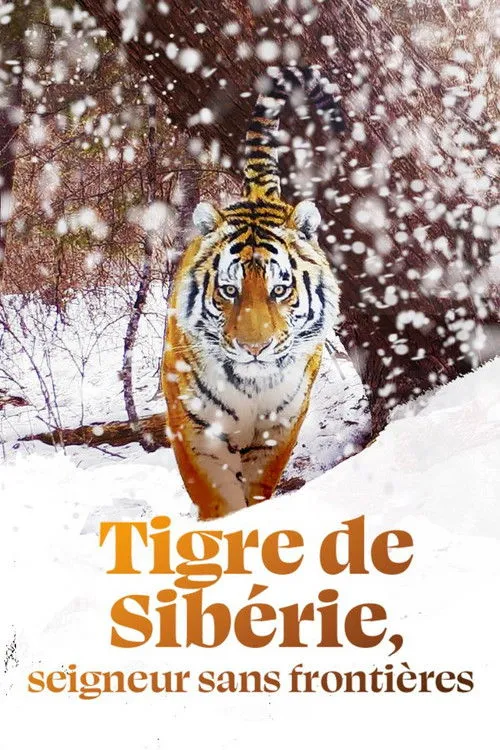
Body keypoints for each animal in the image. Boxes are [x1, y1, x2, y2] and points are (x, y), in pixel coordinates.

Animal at [162, 66, 344, 520]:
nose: (255, 349)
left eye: (280, 290)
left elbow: (259, 486)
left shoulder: (279, 428)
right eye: (229, 290)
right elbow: (218, 496)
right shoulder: (196, 427)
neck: (250, 387)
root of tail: (258, 195)